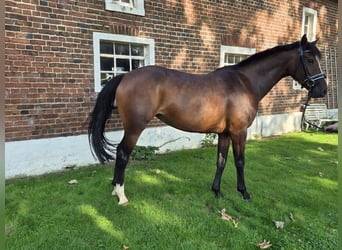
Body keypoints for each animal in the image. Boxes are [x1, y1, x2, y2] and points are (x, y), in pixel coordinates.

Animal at [88, 35, 326, 205]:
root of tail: (125, 76)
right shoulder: (239, 132)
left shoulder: (225, 133)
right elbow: (240, 161)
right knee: (122, 154)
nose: (323, 90)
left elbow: (221, 161)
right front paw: (244, 193)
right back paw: (121, 194)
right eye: (310, 59)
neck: (244, 83)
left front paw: (217, 191)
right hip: (134, 128)